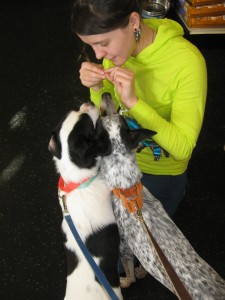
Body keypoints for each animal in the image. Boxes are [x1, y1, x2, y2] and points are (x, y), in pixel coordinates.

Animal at [98, 93, 225, 300]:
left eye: (98, 122)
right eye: (122, 120)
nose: (107, 94)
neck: (127, 188)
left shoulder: (124, 247)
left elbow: (129, 273)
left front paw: (126, 281)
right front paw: (141, 272)